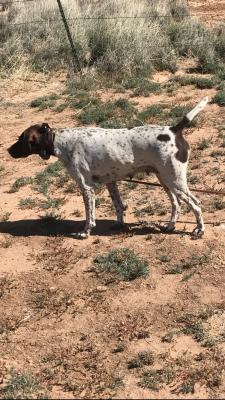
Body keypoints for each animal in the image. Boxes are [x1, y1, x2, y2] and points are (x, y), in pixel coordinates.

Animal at [7, 97, 208, 239]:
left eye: (22, 139)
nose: (8, 150)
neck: (61, 141)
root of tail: (174, 130)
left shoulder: (87, 187)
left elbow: (90, 216)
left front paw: (85, 233)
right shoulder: (111, 182)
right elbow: (118, 206)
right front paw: (119, 224)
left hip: (175, 181)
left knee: (196, 203)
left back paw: (199, 229)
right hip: (165, 180)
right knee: (177, 203)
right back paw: (170, 226)